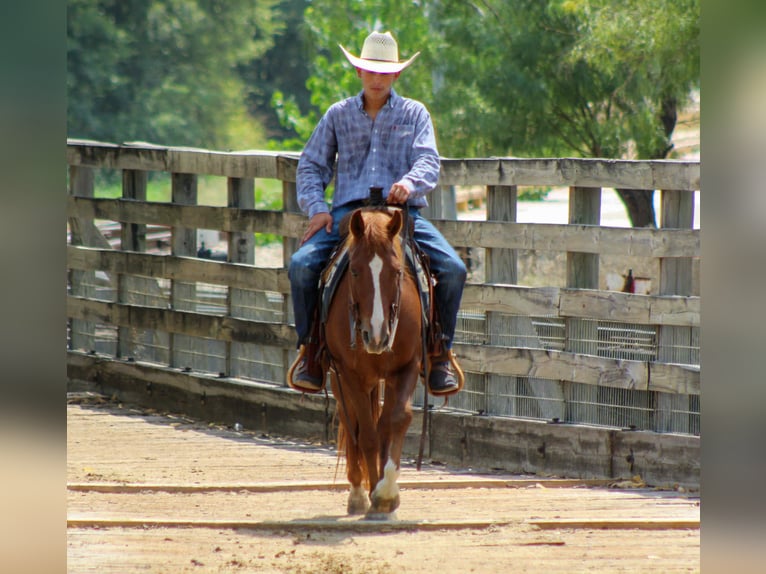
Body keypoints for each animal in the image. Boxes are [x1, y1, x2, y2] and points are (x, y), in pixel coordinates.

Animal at [321, 206, 423, 519]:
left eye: (397, 271)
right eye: (354, 271)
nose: (376, 335)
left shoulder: (407, 366)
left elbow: (397, 420)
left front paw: (386, 493)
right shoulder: (347, 373)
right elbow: (365, 433)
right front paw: (372, 494)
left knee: (381, 423)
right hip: (340, 380)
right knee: (351, 421)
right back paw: (357, 493)